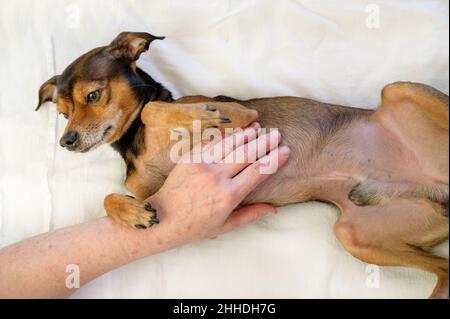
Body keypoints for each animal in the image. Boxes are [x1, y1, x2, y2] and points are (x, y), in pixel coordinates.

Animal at [37, 31, 448, 298]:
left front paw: (197, 114)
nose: (66, 141)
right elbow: (111, 197)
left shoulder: (240, 115)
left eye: (93, 95)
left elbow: (154, 107)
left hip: (399, 90)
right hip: (354, 235)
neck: (136, 140)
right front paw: (133, 213)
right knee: (444, 269)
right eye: (62, 113)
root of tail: (439, 188)